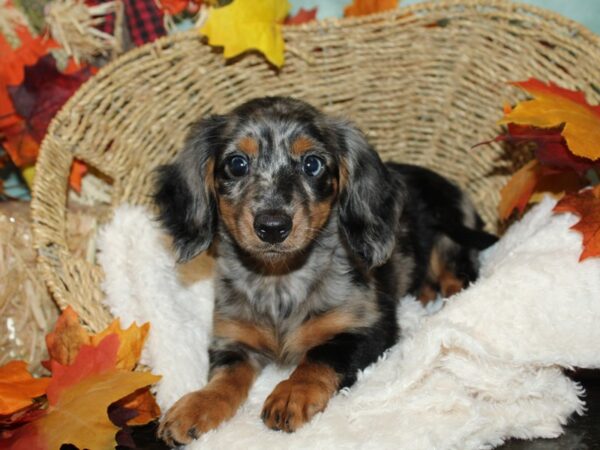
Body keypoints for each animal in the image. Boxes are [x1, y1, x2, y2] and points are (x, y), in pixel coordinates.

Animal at [155, 96, 496, 444]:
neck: (279, 280)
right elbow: (225, 376)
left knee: (458, 278)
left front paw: (291, 394)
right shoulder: (233, 339)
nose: (273, 227)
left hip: (449, 241)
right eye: (237, 164)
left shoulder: (367, 329)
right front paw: (197, 405)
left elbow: (318, 358)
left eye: (312, 164)